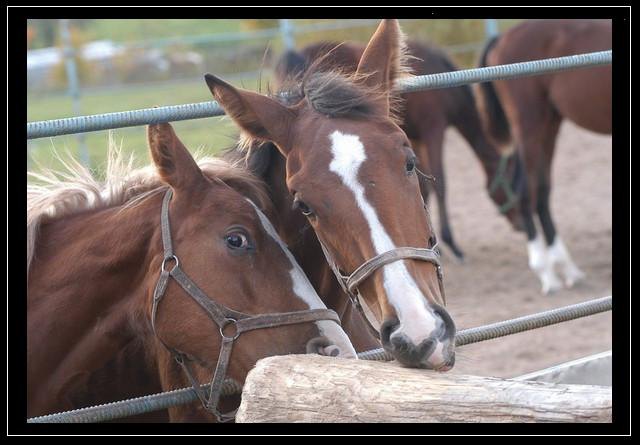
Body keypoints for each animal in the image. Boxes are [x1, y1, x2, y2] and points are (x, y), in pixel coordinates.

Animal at [276, 39, 524, 260]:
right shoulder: (434, 129)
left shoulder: (415, 138)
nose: (520, 225)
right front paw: (452, 244)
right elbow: (440, 183)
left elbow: (424, 185)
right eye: (513, 187)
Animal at [478, 19, 612, 294]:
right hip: (530, 126)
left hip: (549, 125)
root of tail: (503, 39)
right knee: (525, 191)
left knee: (541, 191)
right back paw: (547, 273)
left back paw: (566, 267)